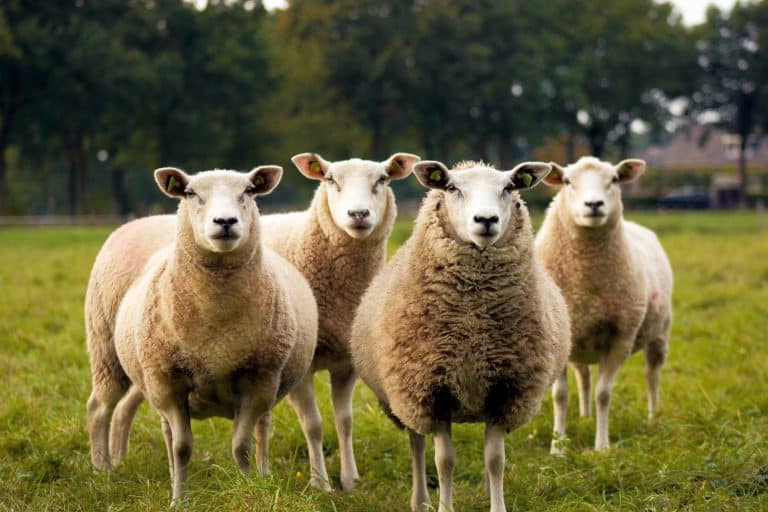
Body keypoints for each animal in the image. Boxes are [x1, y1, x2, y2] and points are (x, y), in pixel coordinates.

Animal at [86, 166, 318, 504]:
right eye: (190, 193)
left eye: (249, 191)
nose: (225, 222)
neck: (216, 326)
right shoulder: (168, 383)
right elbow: (182, 448)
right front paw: (178, 500)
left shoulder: (259, 381)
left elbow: (241, 446)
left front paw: (249, 489)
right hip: (107, 351)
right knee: (101, 408)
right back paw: (103, 470)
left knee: (259, 426)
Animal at [259, 152, 420, 491]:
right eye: (331, 180)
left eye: (382, 179)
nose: (358, 214)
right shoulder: (303, 365)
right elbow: (313, 425)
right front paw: (320, 483)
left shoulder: (347, 363)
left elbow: (344, 422)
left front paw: (349, 480)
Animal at [350, 160, 571, 512]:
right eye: (452, 188)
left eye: (509, 187)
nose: (486, 220)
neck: (473, 323)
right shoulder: (431, 392)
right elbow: (444, 462)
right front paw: (444, 506)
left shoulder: (504, 391)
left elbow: (495, 460)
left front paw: (497, 505)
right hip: (406, 399)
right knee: (417, 445)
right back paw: (421, 500)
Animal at [534, 156, 673, 453]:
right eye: (567, 182)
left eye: (614, 180)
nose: (594, 205)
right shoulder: (556, 339)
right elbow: (560, 395)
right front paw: (558, 447)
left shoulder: (621, 339)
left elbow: (603, 394)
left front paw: (602, 447)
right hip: (578, 342)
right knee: (584, 375)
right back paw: (585, 417)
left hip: (659, 334)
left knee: (652, 374)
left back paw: (653, 418)